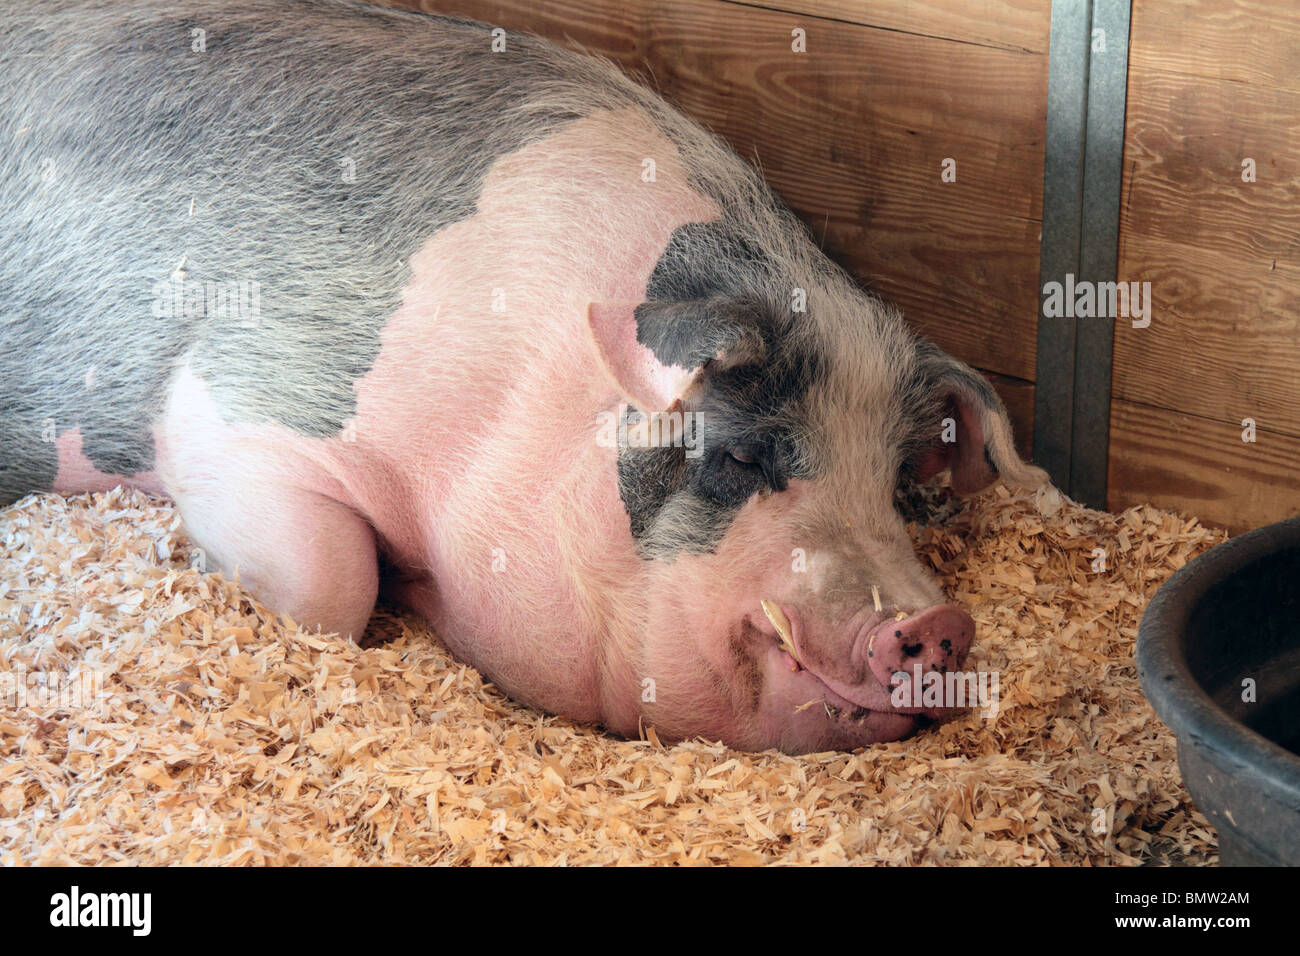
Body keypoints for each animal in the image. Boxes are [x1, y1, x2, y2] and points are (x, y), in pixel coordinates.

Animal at [0, 0, 1050, 754]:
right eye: (743, 456)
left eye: (897, 485)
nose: (938, 622)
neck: (522, 394)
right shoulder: (251, 396)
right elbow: (329, 587)